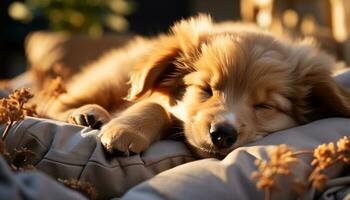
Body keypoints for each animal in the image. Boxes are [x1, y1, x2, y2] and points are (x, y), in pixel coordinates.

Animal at [45, 14, 350, 158]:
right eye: (206, 89)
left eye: (265, 106)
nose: (223, 134)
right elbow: (154, 105)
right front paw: (126, 131)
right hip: (110, 78)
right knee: (52, 104)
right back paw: (86, 113)